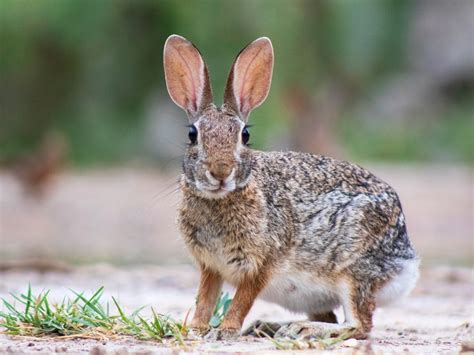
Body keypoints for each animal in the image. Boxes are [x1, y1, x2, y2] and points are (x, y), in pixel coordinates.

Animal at [163, 34, 418, 340]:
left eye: (244, 135)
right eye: (192, 135)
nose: (220, 172)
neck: (223, 197)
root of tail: (406, 259)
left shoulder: (262, 264)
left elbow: (241, 300)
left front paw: (226, 331)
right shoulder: (211, 266)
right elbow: (205, 297)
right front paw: (197, 329)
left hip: (353, 270)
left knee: (359, 325)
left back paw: (302, 328)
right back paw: (270, 326)